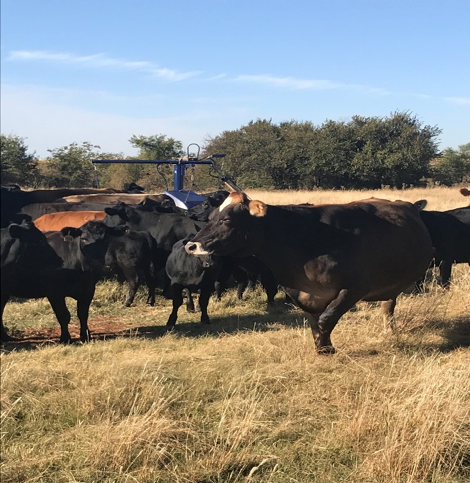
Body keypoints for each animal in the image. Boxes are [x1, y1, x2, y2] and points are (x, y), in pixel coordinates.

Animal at [185, 193, 434, 356]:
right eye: (210, 217)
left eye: (227, 220)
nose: (191, 245)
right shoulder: (300, 291)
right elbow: (314, 321)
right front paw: (322, 346)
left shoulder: (353, 288)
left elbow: (326, 318)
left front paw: (326, 348)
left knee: (387, 307)